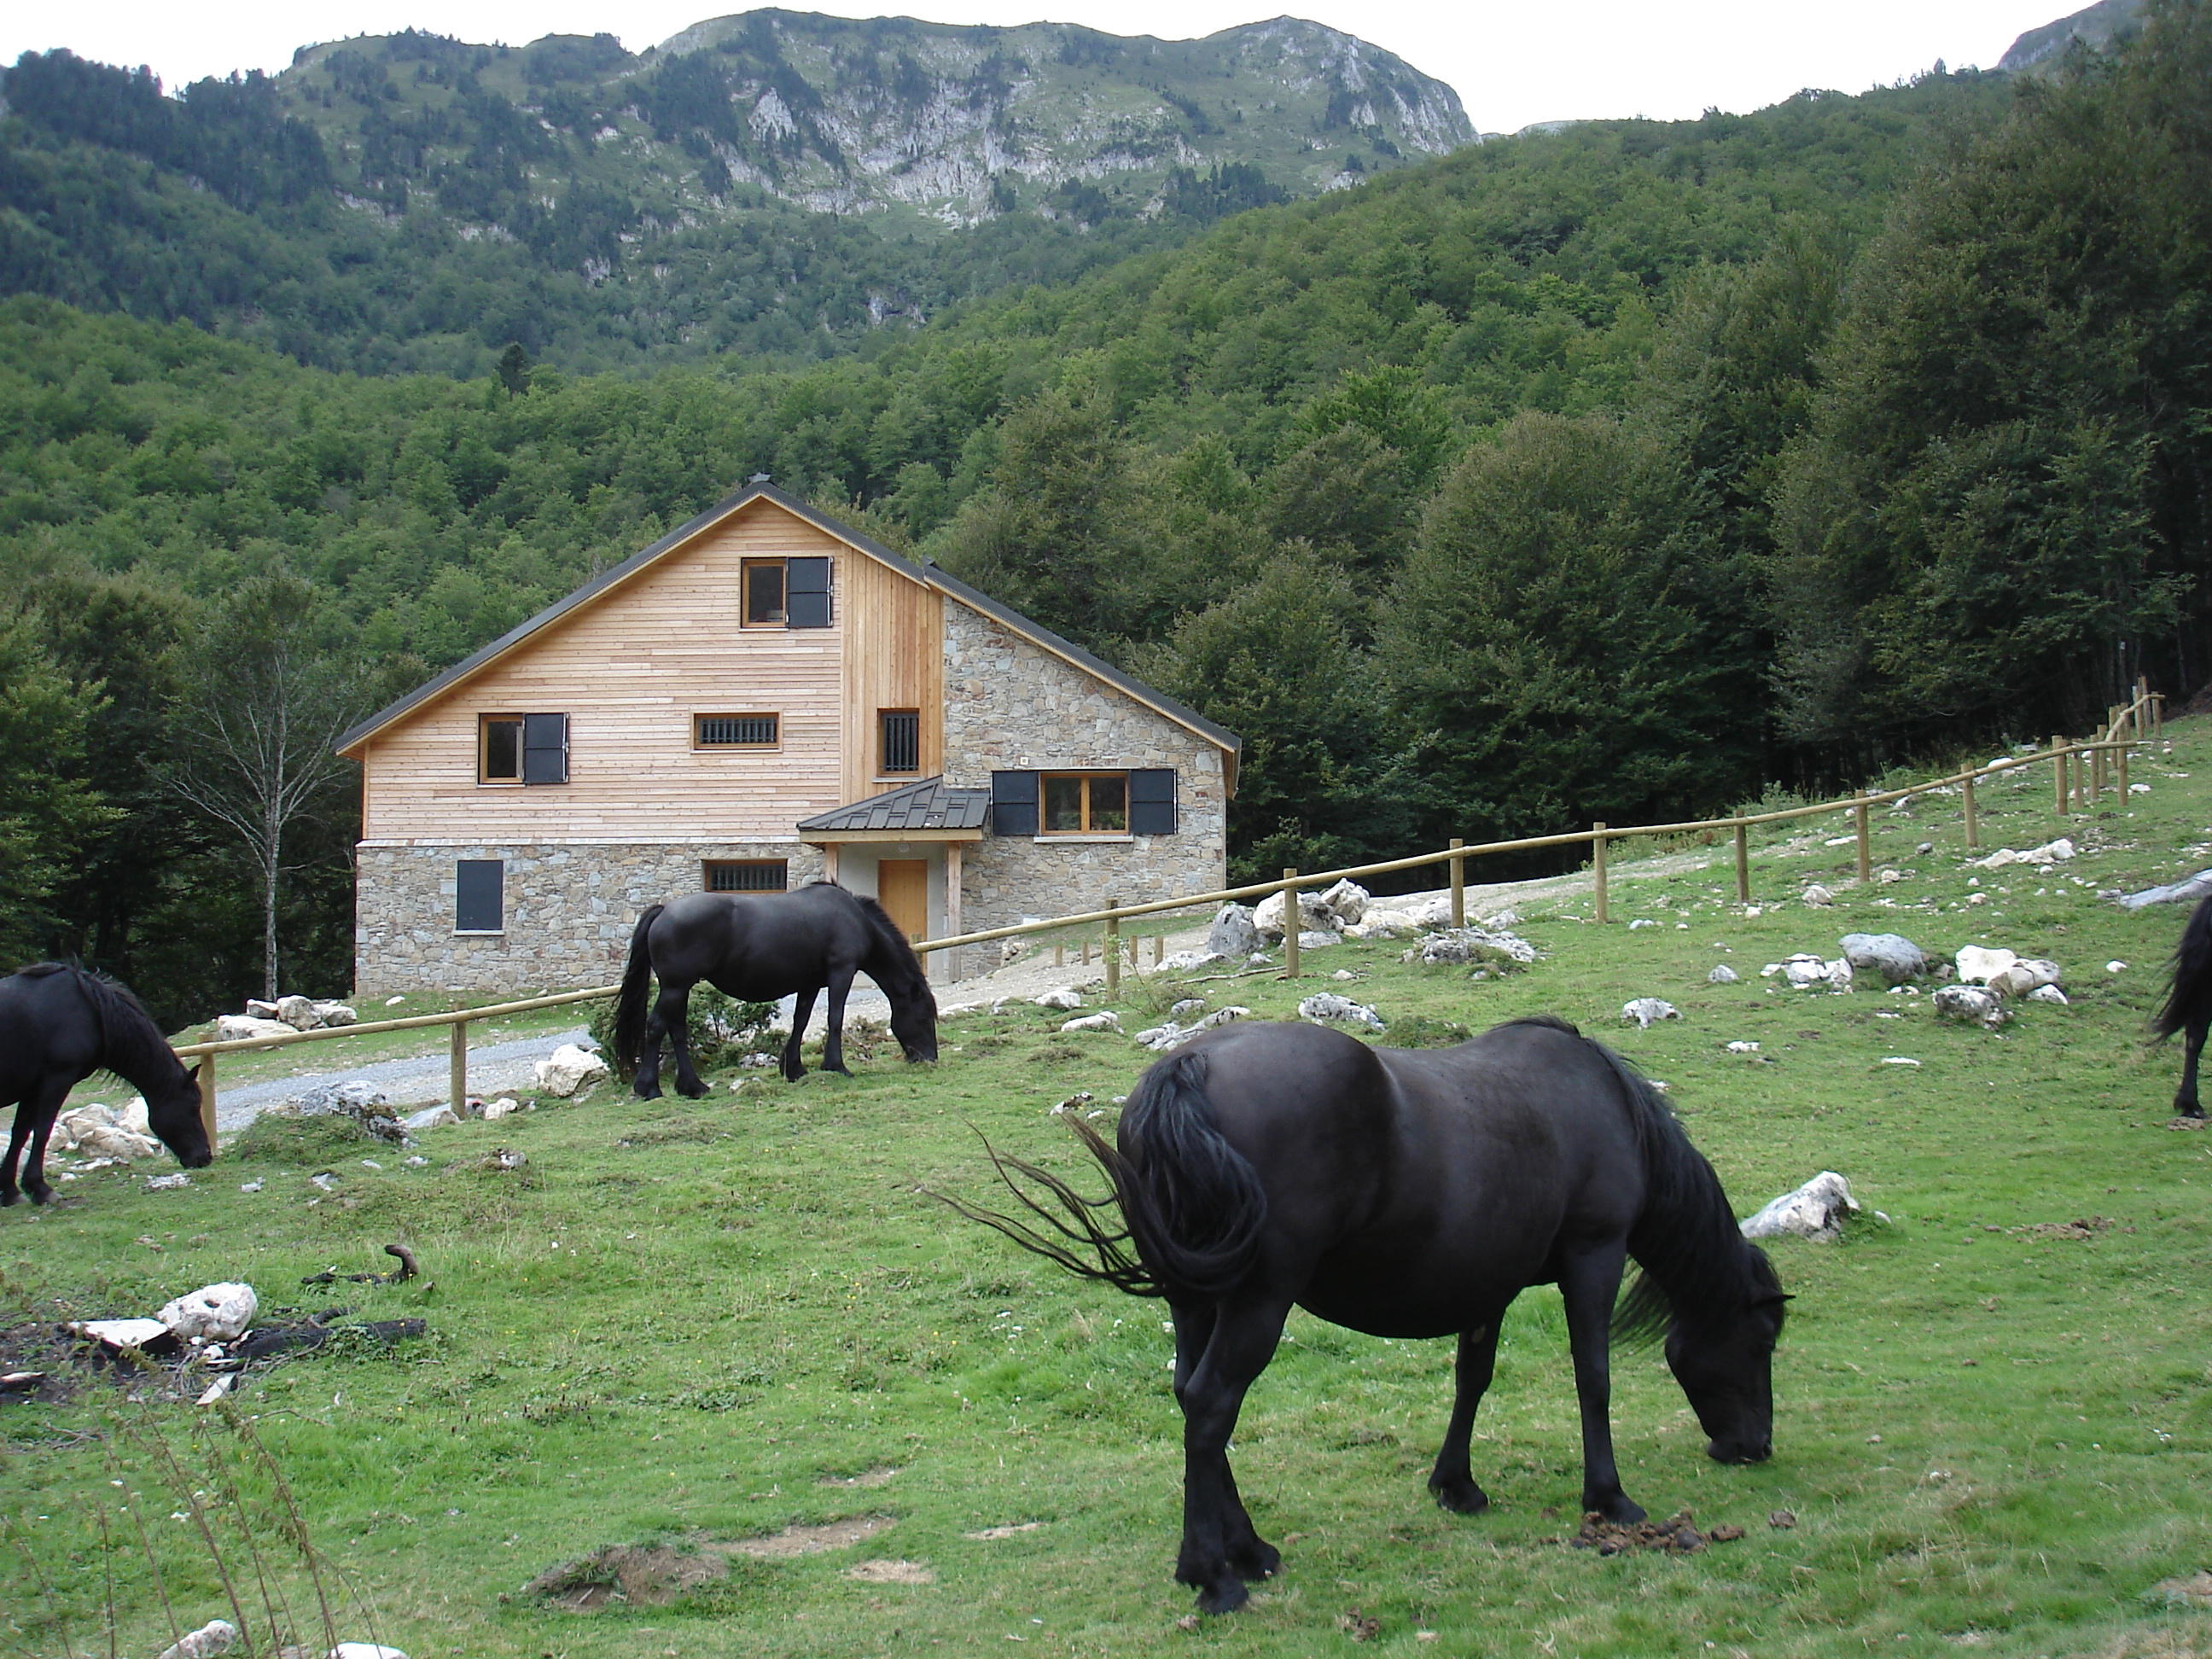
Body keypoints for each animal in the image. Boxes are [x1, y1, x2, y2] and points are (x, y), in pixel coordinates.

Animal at [1, 959, 211, 1212]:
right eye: (194, 1106)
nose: (205, 1157)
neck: (88, 1008)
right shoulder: (56, 1079)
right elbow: (42, 1131)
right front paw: (41, 1189)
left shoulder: (32, 1088)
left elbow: (20, 1133)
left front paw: (11, 1192)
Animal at [614, 888, 942, 1097]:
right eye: (923, 1016)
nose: (929, 1058)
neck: (854, 918)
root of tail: (664, 911)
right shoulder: (841, 972)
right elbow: (835, 1019)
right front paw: (836, 1066)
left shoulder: (810, 984)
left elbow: (801, 1021)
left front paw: (794, 1068)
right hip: (675, 986)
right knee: (657, 1027)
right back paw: (649, 1088)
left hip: (680, 988)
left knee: (677, 1030)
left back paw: (693, 1087)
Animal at [946, 1022, 1778, 1619]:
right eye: (1763, 1339)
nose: (1755, 1447)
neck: (1603, 1103)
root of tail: (1190, 1069)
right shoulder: (1593, 1253)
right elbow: (1593, 1378)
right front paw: (1609, 1498)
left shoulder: (1489, 1284)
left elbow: (1472, 1379)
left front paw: (1456, 1485)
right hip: (1258, 1298)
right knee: (1212, 1406)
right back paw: (1216, 1579)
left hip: (1197, 1298)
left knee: (1192, 1401)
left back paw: (1244, 1552)